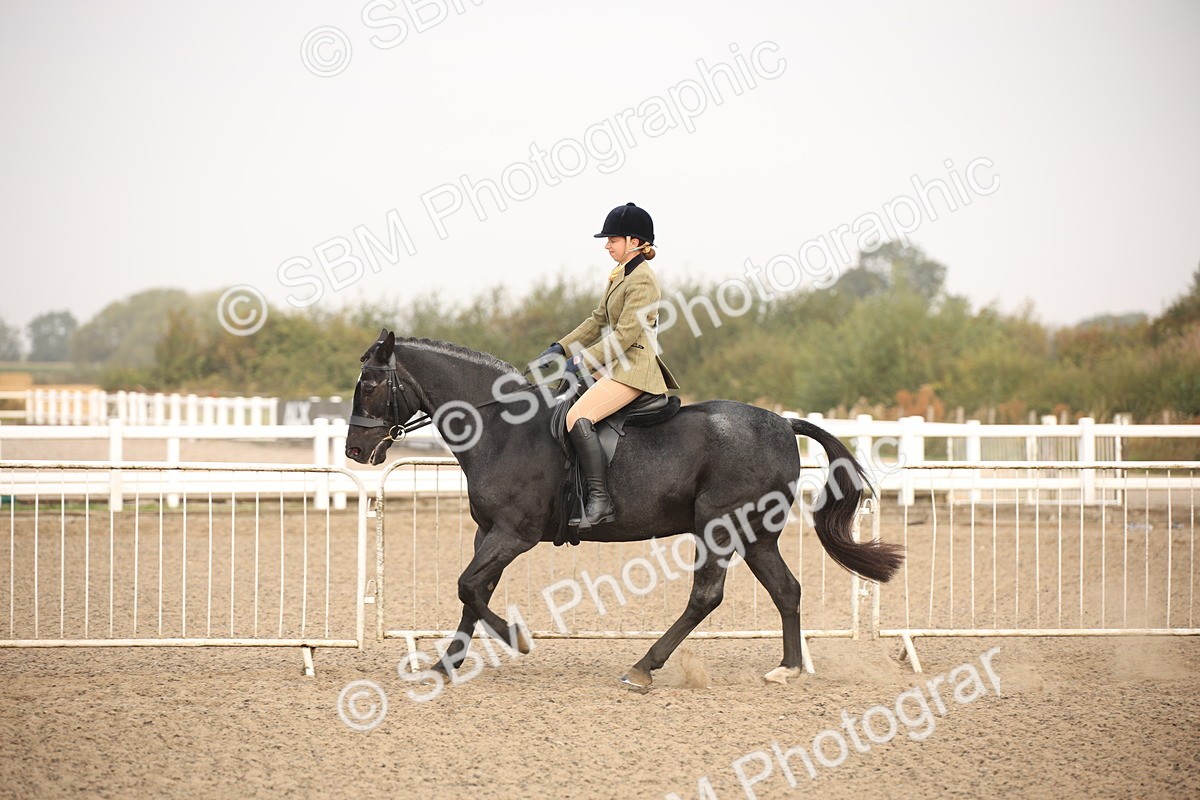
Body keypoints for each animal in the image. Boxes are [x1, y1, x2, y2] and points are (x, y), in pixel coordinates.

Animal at [345, 329, 904, 690]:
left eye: (369, 385)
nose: (354, 451)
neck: (504, 428)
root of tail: (784, 423)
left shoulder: (513, 534)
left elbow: (468, 587)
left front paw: (517, 639)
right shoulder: (489, 534)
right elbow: (472, 592)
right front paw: (445, 666)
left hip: (720, 526)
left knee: (706, 596)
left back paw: (643, 667)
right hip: (755, 534)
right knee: (786, 590)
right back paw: (787, 668)